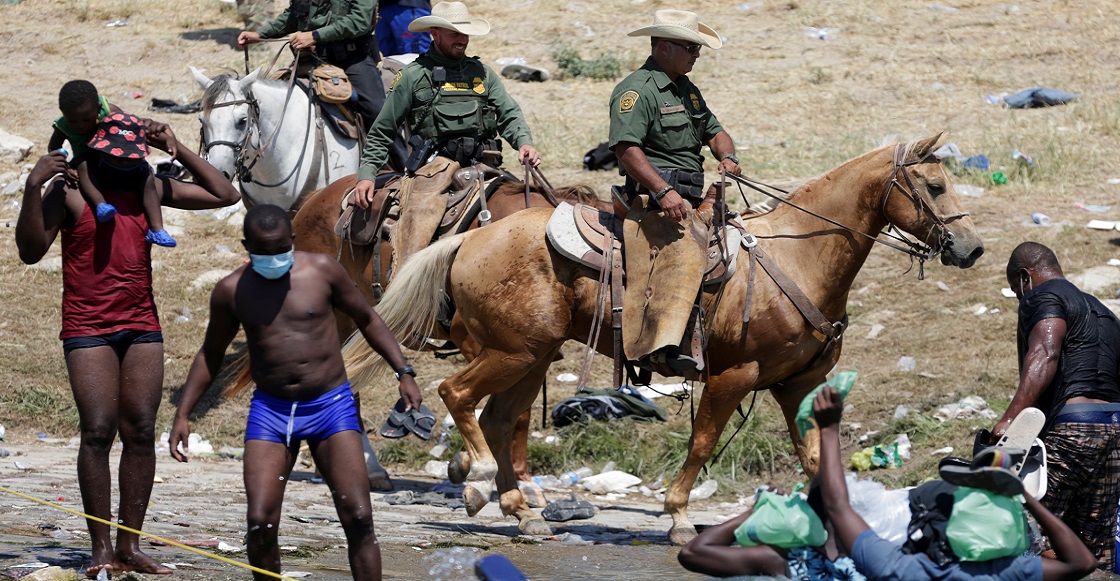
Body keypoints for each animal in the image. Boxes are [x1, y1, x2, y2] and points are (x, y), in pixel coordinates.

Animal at [340, 134, 981, 544]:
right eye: (933, 184)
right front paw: (677, 518)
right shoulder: (733, 376)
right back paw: (471, 480)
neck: (797, 256)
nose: (972, 249)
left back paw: (523, 512)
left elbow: (815, 457)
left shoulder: (799, 384)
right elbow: (701, 444)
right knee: (457, 396)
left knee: (500, 419)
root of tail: (469, 238)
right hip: (511, 352)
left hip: (531, 355)